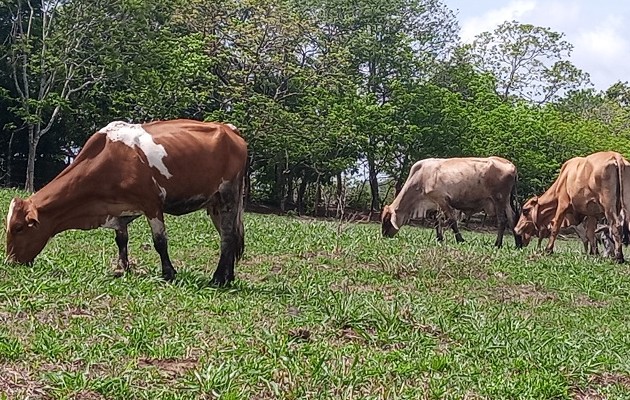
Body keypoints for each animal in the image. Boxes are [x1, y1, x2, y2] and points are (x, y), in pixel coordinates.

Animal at [4, 118, 248, 284]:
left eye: (19, 228)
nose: (10, 263)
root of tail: (229, 128)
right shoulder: (119, 208)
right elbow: (121, 240)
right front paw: (122, 268)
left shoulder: (151, 204)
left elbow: (160, 242)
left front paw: (168, 273)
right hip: (214, 204)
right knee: (229, 236)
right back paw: (228, 276)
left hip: (229, 196)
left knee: (228, 236)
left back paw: (218, 278)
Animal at [380, 155, 524, 247]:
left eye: (386, 220)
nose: (384, 236)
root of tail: (511, 164)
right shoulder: (436, 203)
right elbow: (437, 221)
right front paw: (439, 238)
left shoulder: (442, 200)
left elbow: (452, 221)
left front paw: (460, 240)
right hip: (506, 201)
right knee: (512, 218)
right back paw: (518, 244)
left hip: (499, 198)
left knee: (502, 221)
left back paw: (498, 244)